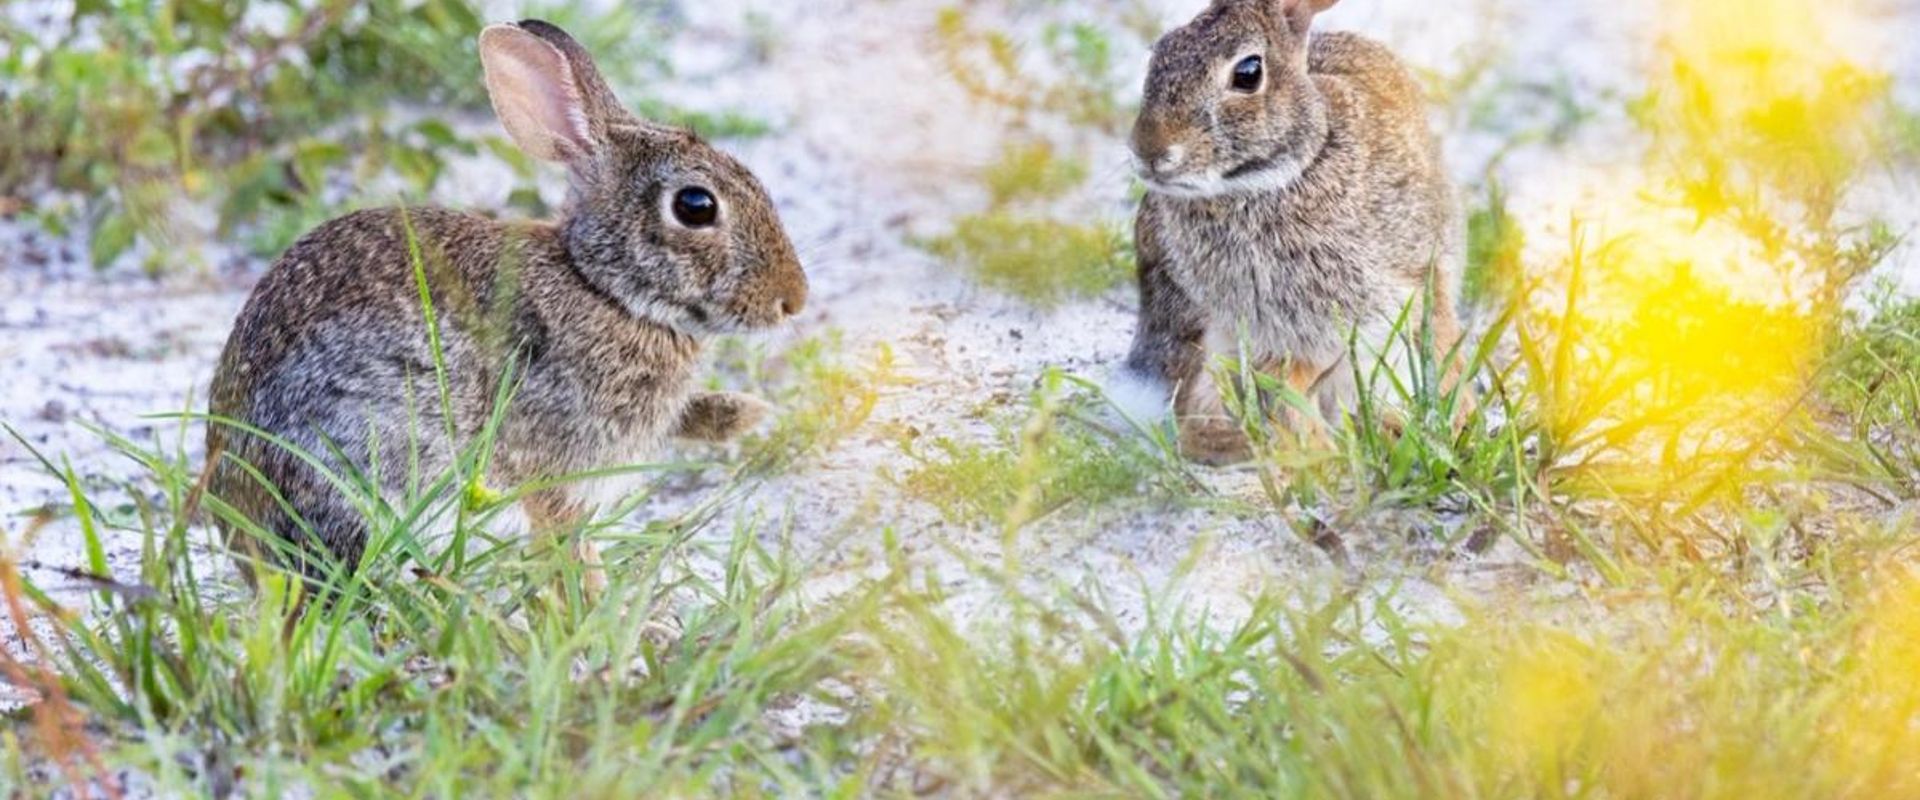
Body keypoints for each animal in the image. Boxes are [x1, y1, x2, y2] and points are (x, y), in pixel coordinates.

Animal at [205, 19, 808, 583]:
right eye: (695, 206)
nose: (793, 299)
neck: (602, 286)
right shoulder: (556, 470)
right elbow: (566, 541)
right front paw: (591, 599)